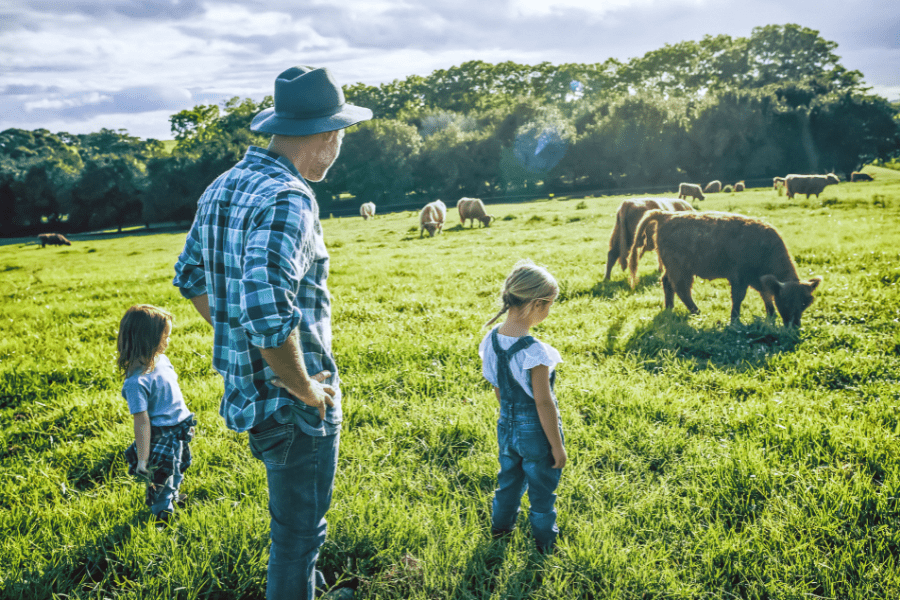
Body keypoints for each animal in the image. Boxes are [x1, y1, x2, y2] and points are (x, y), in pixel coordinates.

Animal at [624, 209, 824, 326]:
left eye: (806, 302)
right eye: (786, 300)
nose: (795, 326)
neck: (764, 247)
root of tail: (667, 215)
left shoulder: (760, 281)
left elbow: (766, 296)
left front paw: (771, 315)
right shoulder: (739, 278)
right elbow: (738, 299)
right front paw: (735, 320)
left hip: (673, 268)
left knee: (667, 283)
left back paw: (669, 308)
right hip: (680, 269)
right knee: (681, 288)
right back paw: (696, 312)